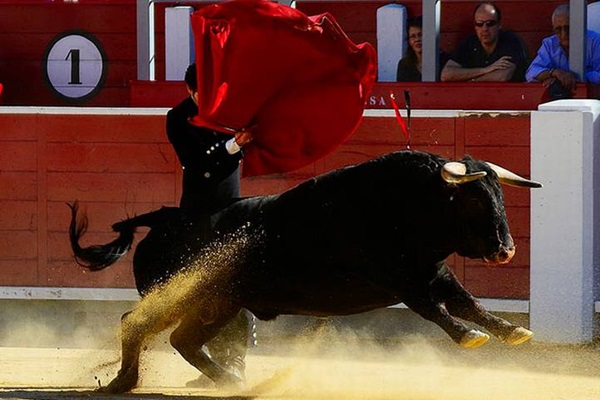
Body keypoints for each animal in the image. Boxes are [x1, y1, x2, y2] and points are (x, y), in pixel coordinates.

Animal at [68, 148, 540, 392]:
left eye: (500, 194)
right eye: (474, 200)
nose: (506, 250)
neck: (403, 203)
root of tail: (165, 218)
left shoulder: (433, 271)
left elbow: (467, 301)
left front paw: (511, 331)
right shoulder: (401, 279)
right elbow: (435, 309)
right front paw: (470, 337)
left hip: (217, 303)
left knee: (183, 339)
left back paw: (227, 380)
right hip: (185, 294)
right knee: (135, 323)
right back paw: (122, 382)